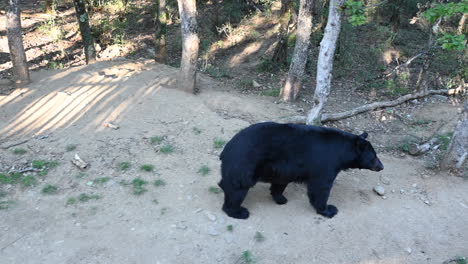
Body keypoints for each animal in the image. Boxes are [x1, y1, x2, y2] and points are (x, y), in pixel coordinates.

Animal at [219, 121, 384, 219]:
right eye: (374, 157)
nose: (381, 166)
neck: (341, 151)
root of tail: (226, 149)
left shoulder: (285, 168)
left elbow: (280, 182)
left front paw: (280, 198)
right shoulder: (325, 164)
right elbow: (320, 187)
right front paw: (328, 209)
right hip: (244, 164)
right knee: (237, 188)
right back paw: (239, 211)